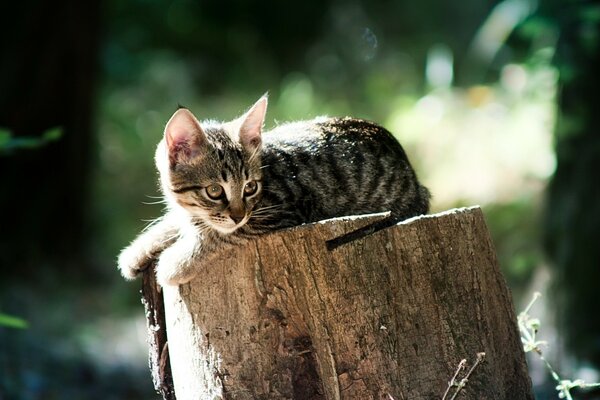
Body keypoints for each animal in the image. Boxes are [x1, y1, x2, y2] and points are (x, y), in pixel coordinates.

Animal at [117, 95, 428, 286]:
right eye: (215, 191)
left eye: (250, 187)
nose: (237, 214)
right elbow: (174, 222)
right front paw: (137, 251)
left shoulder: (281, 212)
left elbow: (222, 235)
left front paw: (173, 264)